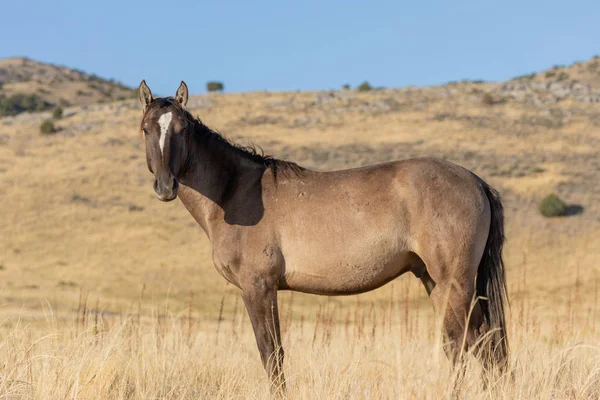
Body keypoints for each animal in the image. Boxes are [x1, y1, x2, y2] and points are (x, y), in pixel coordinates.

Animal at [137, 79, 510, 392]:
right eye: (145, 129)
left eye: (182, 129)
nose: (166, 186)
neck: (235, 192)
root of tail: (475, 181)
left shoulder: (258, 287)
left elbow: (271, 354)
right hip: (434, 281)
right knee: (474, 343)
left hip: (454, 282)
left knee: (471, 343)